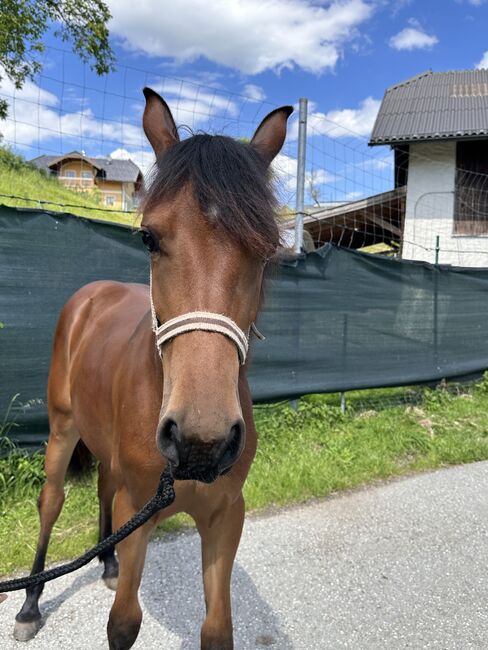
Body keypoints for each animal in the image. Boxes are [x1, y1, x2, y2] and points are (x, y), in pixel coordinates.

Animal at [13, 87, 292, 648]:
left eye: (267, 246)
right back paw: (30, 604)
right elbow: (123, 623)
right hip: (61, 431)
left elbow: (218, 629)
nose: (202, 439)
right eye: (148, 238)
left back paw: (106, 562)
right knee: (50, 501)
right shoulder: (138, 514)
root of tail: (90, 295)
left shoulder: (226, 517)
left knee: (102, 484)